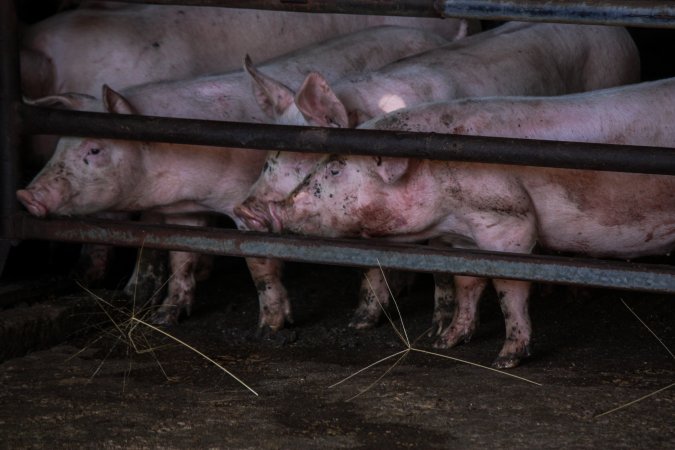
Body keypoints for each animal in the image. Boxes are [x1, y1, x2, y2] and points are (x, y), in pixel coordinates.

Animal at [14, 27, 454, 326]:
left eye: (94, 149)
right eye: (58, 143)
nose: (25, 196)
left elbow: (257, 260)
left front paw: (272, 326)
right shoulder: (184, 212)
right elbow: (180, 254)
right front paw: (166, 316)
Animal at [235, 20, 640, 330]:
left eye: (307, 156)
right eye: (269, 152)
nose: (243, 210)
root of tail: (616, 31)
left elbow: (440, 267)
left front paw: (437, 328)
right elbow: (372, 262)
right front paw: (358, 323)